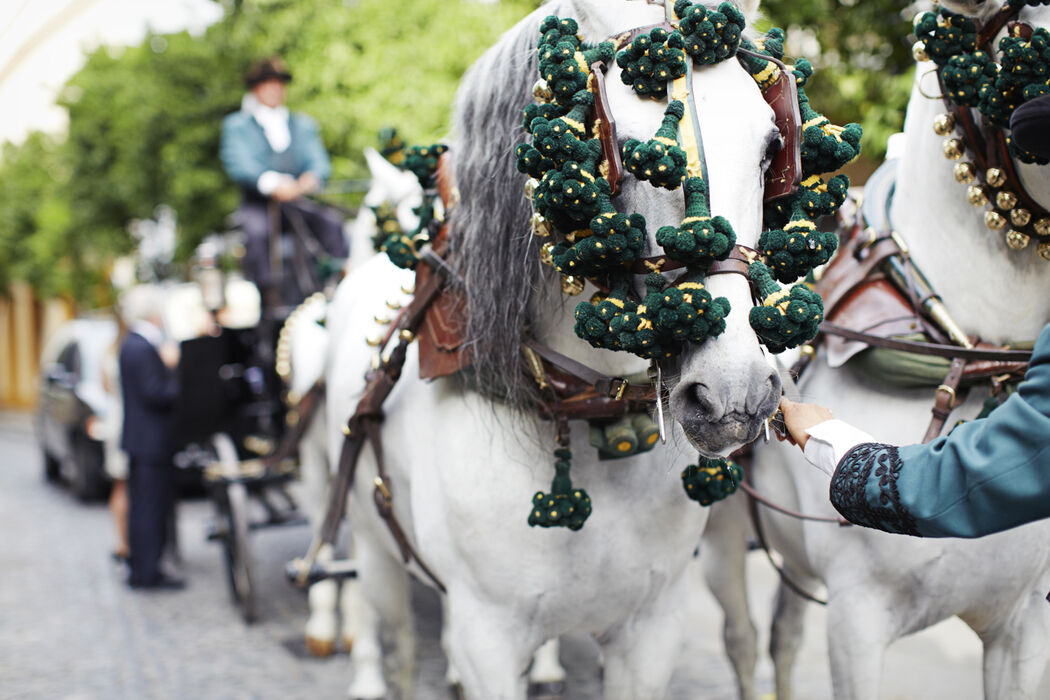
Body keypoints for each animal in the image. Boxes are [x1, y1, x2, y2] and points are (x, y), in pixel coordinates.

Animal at [319, 2, 789, 696]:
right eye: (632, 155)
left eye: (768, 150)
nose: (735, 390)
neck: (585, 416)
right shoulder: (486, 638)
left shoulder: (651, 628)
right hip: (376, 552)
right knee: (395, 639)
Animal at [701, 1, 1050, 700]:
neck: (979, 363)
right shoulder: (858, 622)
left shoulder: (1024, 624)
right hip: (720, 540)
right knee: (742, 639)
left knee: (783, 636)